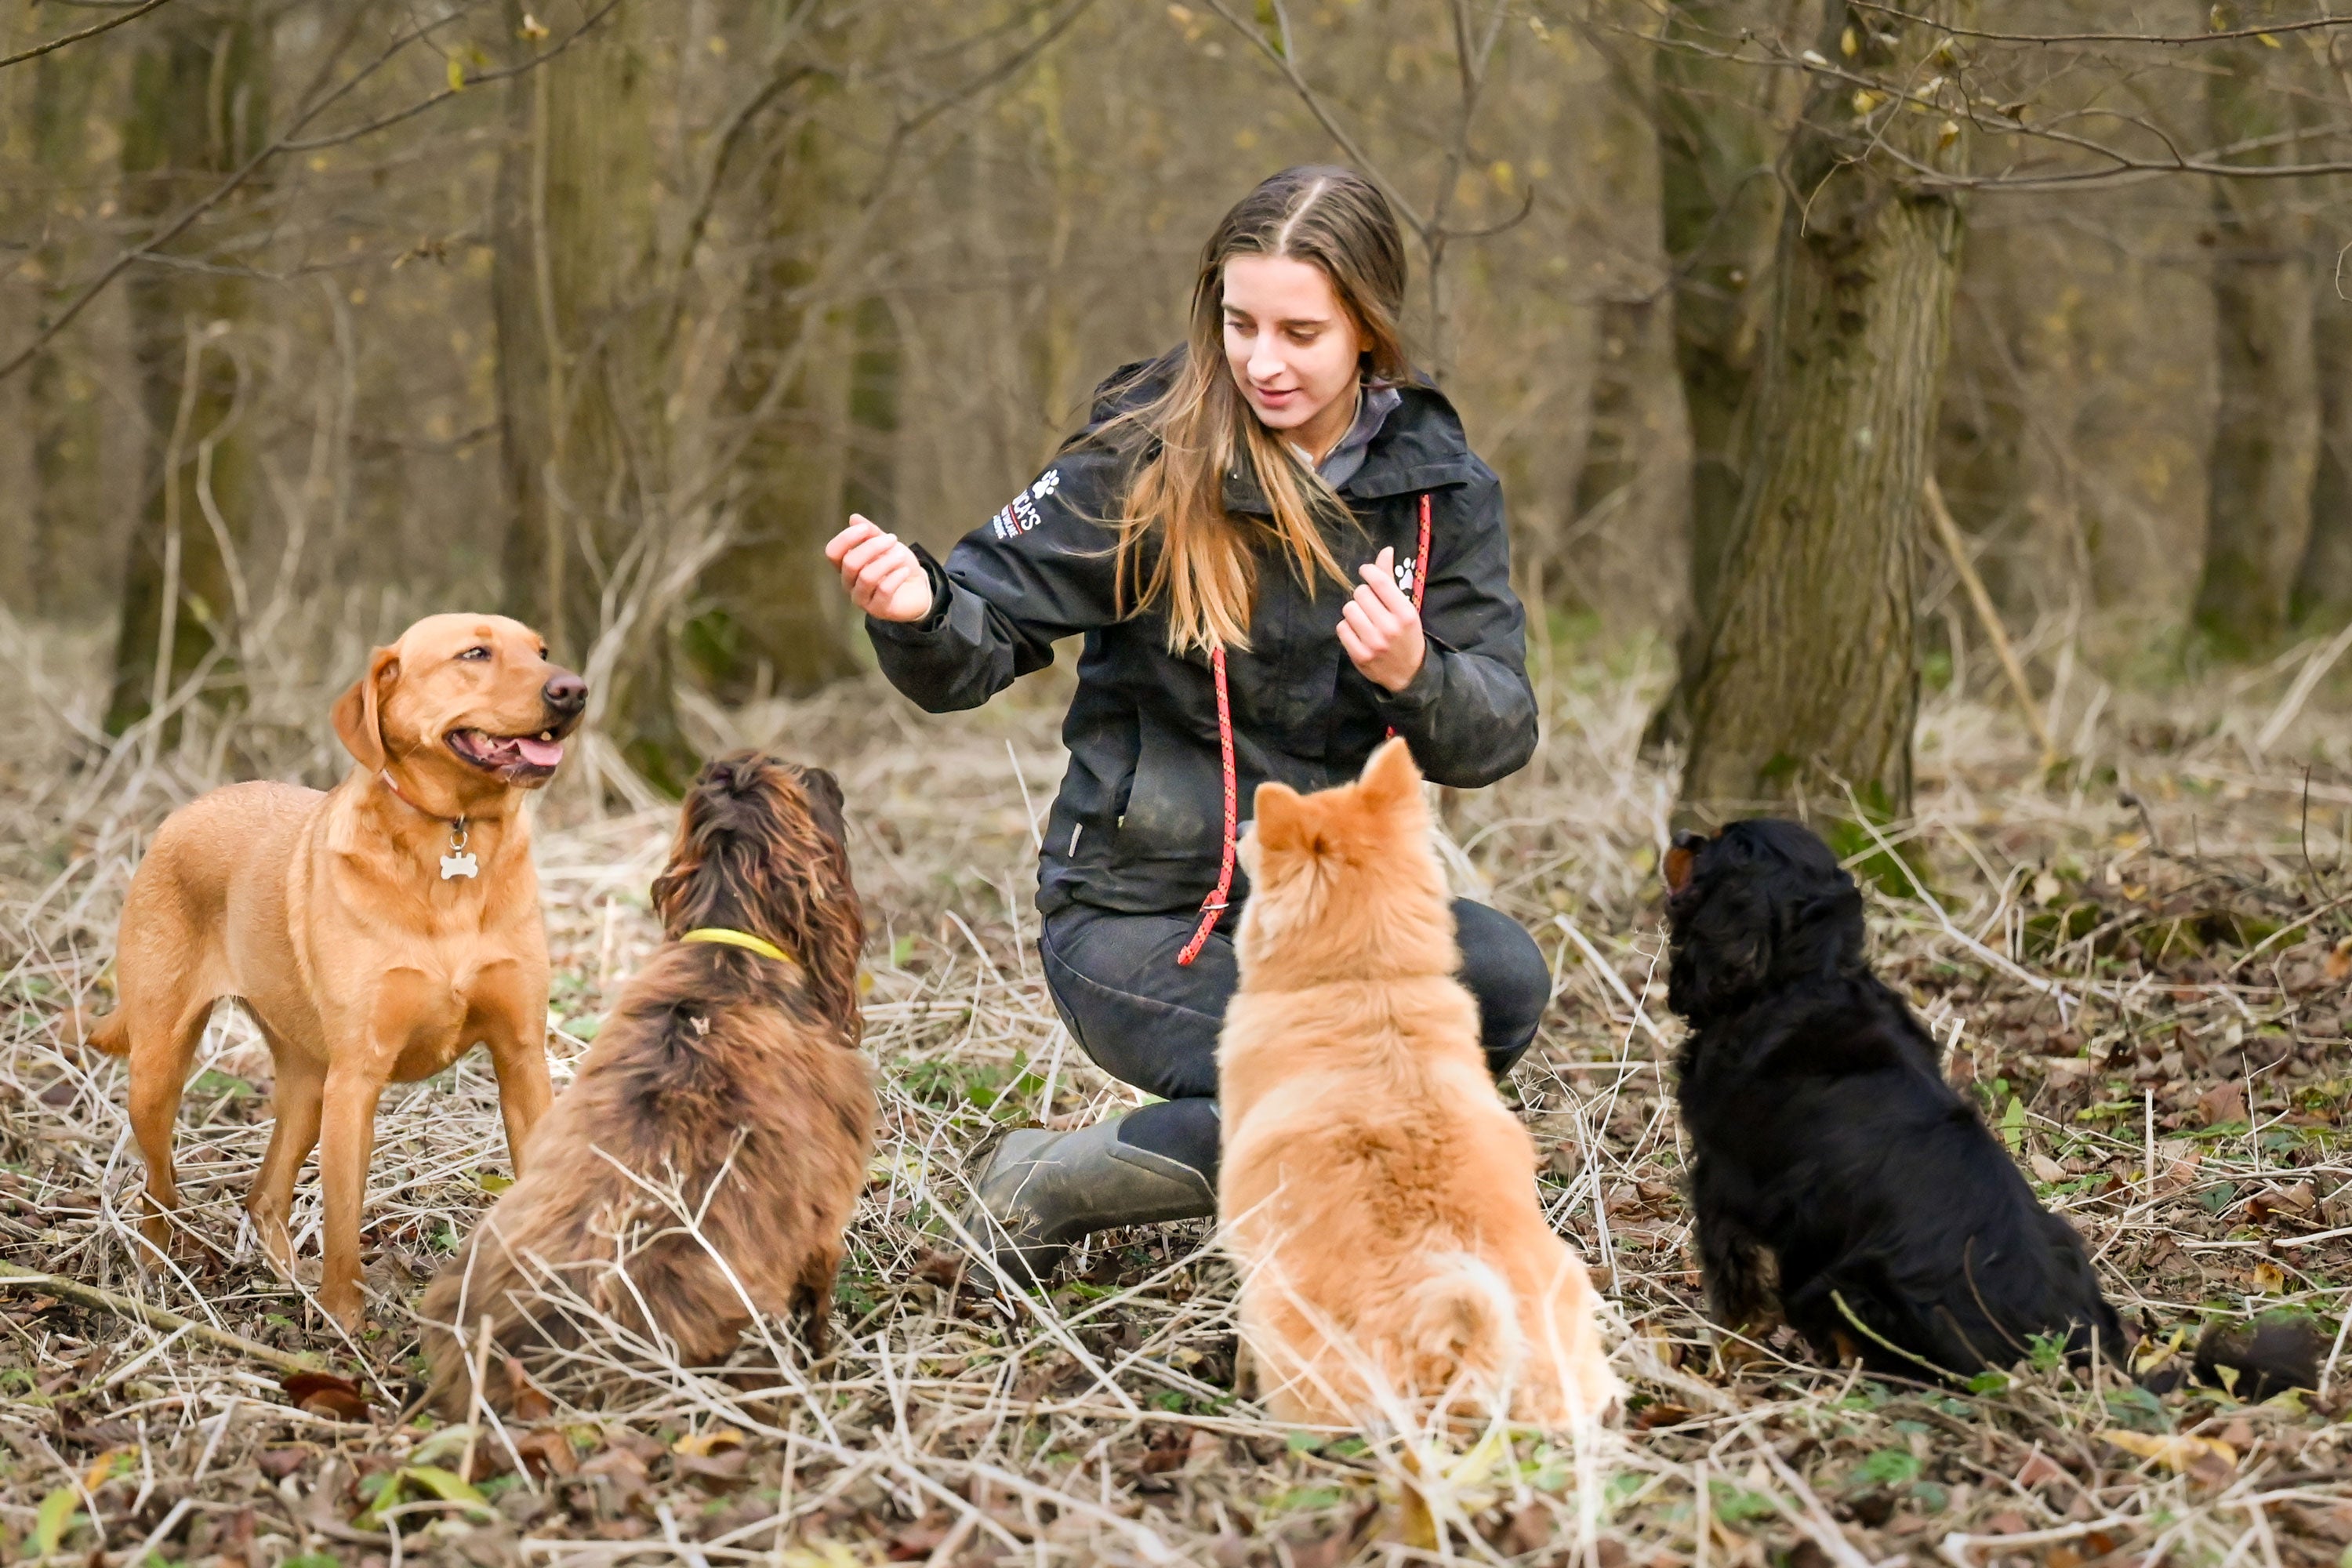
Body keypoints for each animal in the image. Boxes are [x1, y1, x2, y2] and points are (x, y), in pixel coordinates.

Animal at [1656, 818, 2136, 1382]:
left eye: (1718, 843)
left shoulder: (1722, 1185)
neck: (1801, 979)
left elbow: (1736, 1296)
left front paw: (1727, 1362)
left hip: (1846, 1287)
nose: (1680, 835)